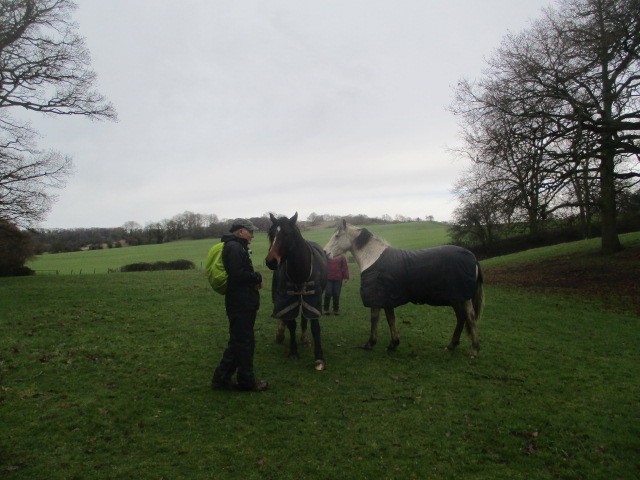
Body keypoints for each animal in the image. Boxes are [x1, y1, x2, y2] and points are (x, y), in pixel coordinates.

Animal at [264, 212, 328, 370]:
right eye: (271, 234)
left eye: (287, 234)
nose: (271, 261)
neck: (300, 270)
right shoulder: (288, 298)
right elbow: (291, 323)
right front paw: (293, 352)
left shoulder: (312, 298)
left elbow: (314, 326)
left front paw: (319, 357)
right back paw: (281, 333)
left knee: (304, 317)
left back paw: (304, 338)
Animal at [324, 220, 484, 356]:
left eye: (337, 236)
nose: (325, 252)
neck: (372, 258)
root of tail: (473, 257)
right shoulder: (386, 299)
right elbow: (391, 320)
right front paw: (393, 344)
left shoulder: (377, 299)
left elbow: (374, 319)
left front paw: (370, 344)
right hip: (456, 298)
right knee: (461, 318)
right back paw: (451, 345)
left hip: (463, 298)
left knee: (470, 318)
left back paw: (474, 350)